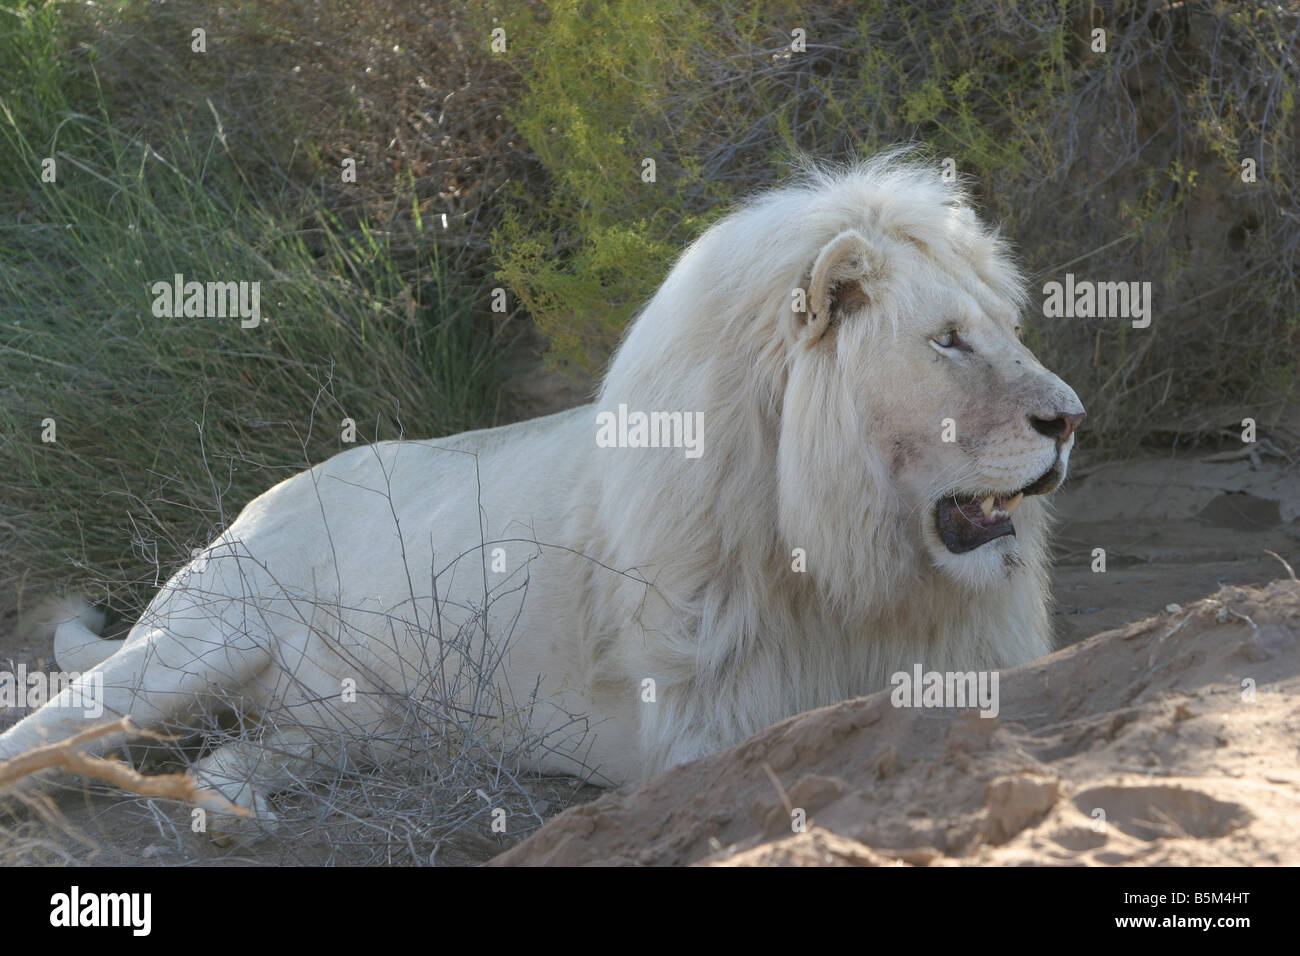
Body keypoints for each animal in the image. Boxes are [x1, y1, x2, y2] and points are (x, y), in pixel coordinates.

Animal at [0, 152, 1084, 830]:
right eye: (948, 341)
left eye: (1004, 328)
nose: (1070, 417)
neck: (854, 560)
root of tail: (253, 503)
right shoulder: (708, 722)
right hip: (199, 641)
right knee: (52, 727)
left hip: (352, 726)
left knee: (225, 757)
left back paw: (233, 816)